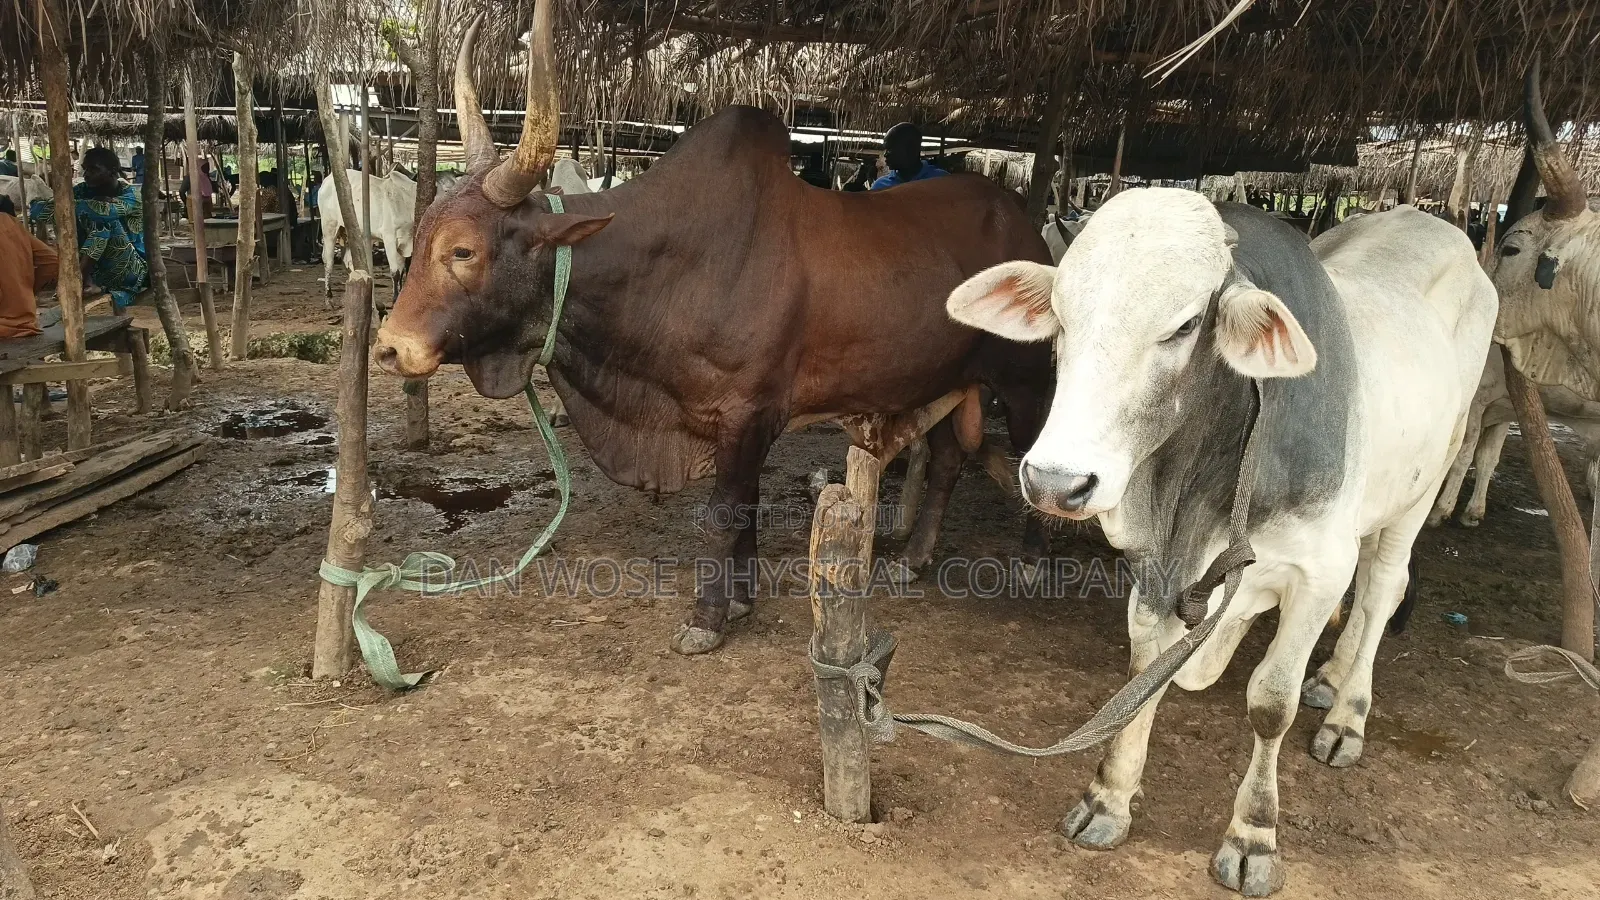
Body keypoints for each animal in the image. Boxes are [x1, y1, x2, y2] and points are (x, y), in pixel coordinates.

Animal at [319, 169, 418, 301]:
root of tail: (327, 179)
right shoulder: (389, 238)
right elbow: (395, 272)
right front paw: (395, 299)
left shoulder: (405, 242)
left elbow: (402, 272)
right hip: (329, 228)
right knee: (328, 260)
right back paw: (328, 296)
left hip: (348, 232)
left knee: (347, 261)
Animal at [372, 3, 1054, 655]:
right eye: (422, 233)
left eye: (463, 251)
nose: (390, 348)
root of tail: (1026, 228)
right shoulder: (743, 422)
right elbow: (746, 509)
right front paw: (743, 599)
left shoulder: (746, 412)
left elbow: (724, 513)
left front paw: (706, 620)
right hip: (947, 378)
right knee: (947, 460)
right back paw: (913, 559)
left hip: (1025, 382)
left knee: (1029, 454)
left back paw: (1032, 563)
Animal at [947, 191, 1495, 895]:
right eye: (1061, 320)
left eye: (1184, 326)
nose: (1055, 482)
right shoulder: (1156, 568)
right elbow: (1142, 679)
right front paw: (1108, 799)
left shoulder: (1319, 573)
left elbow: (1270, 704)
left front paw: (1253, 834)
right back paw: (1332, 677)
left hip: (1427, 483)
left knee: (1382, 588)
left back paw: (1347, 714)